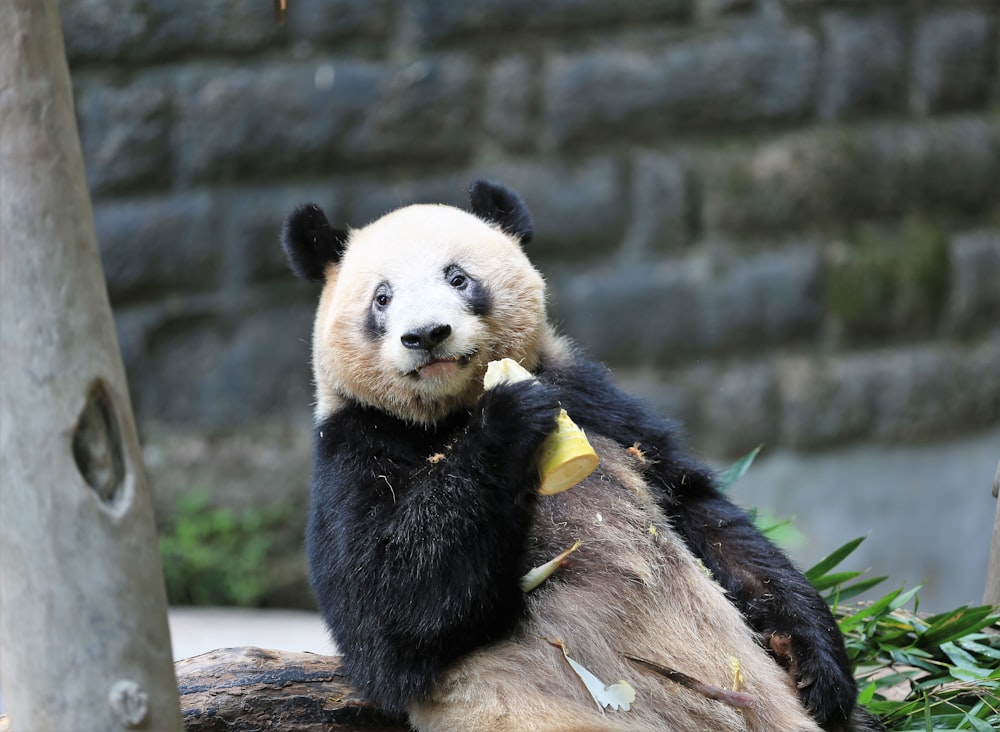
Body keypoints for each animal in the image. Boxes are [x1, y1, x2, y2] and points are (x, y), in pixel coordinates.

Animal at [280, 179, 876, 732]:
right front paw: (510, 416)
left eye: (457, 278)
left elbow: (702, 514)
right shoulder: (354, 447)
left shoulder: (595, 402)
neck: (449, 414)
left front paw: (818, 666)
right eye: (382, 298)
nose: (427, 335)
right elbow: (387, 611)